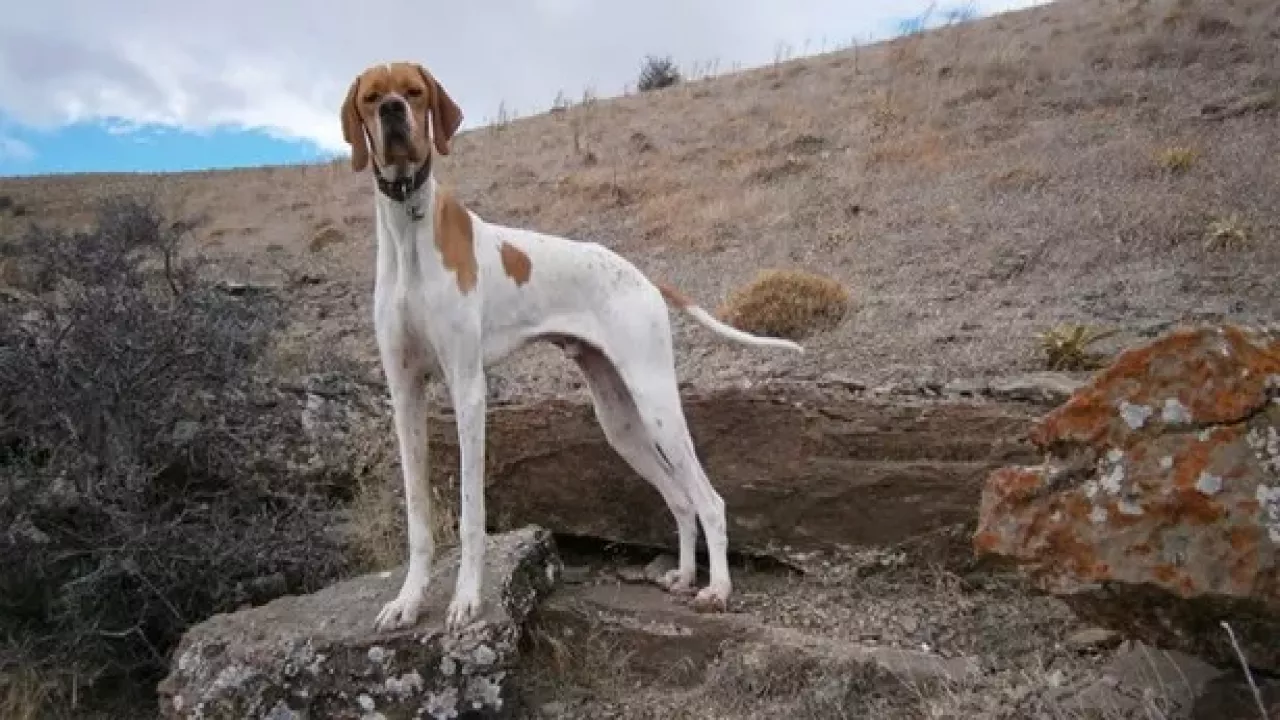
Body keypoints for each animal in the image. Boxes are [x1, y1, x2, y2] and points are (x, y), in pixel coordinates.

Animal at [340, 61, 798, 630]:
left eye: (415, 92)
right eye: (371, 97)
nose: (393, 112)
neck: (409, 232)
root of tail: (643, 277)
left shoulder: (468, 389)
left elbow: (471, 514)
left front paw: (466, 599)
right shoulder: (405, 395)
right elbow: (417, 517)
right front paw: (407, 600)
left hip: (657, 406)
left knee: (709, 501)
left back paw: (716, 590)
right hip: (621, 422)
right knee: (679, 499)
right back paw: (685, 576)